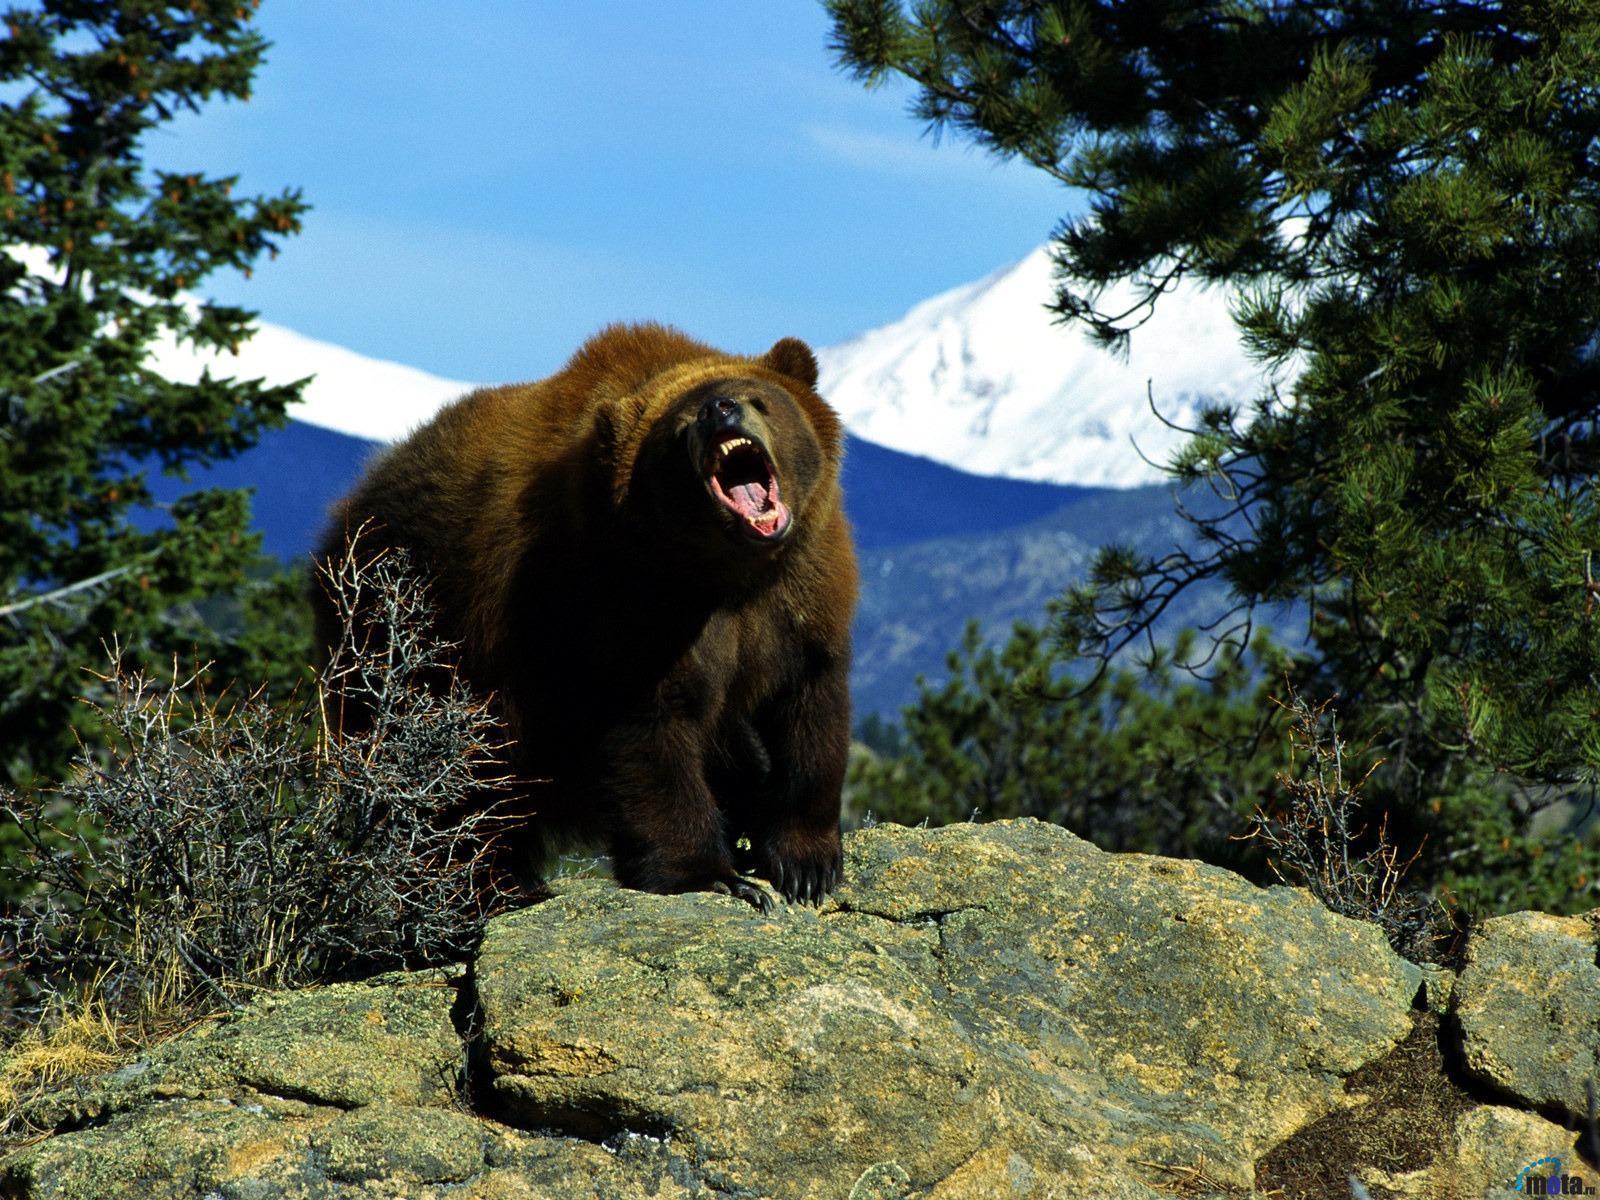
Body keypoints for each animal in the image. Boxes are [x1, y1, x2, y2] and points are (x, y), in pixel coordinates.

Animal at [315, 321, 864, 908]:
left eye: (757, 398)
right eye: (681, 427)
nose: (720, 409)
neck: (728, 569)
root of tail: (346, 511)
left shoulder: (801, 596)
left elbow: (810, 713)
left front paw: (804, 864)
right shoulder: (620, 603)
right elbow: (650, 735)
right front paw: (712, 874)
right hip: (412, 638)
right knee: (459, 779)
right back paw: (491, 885)